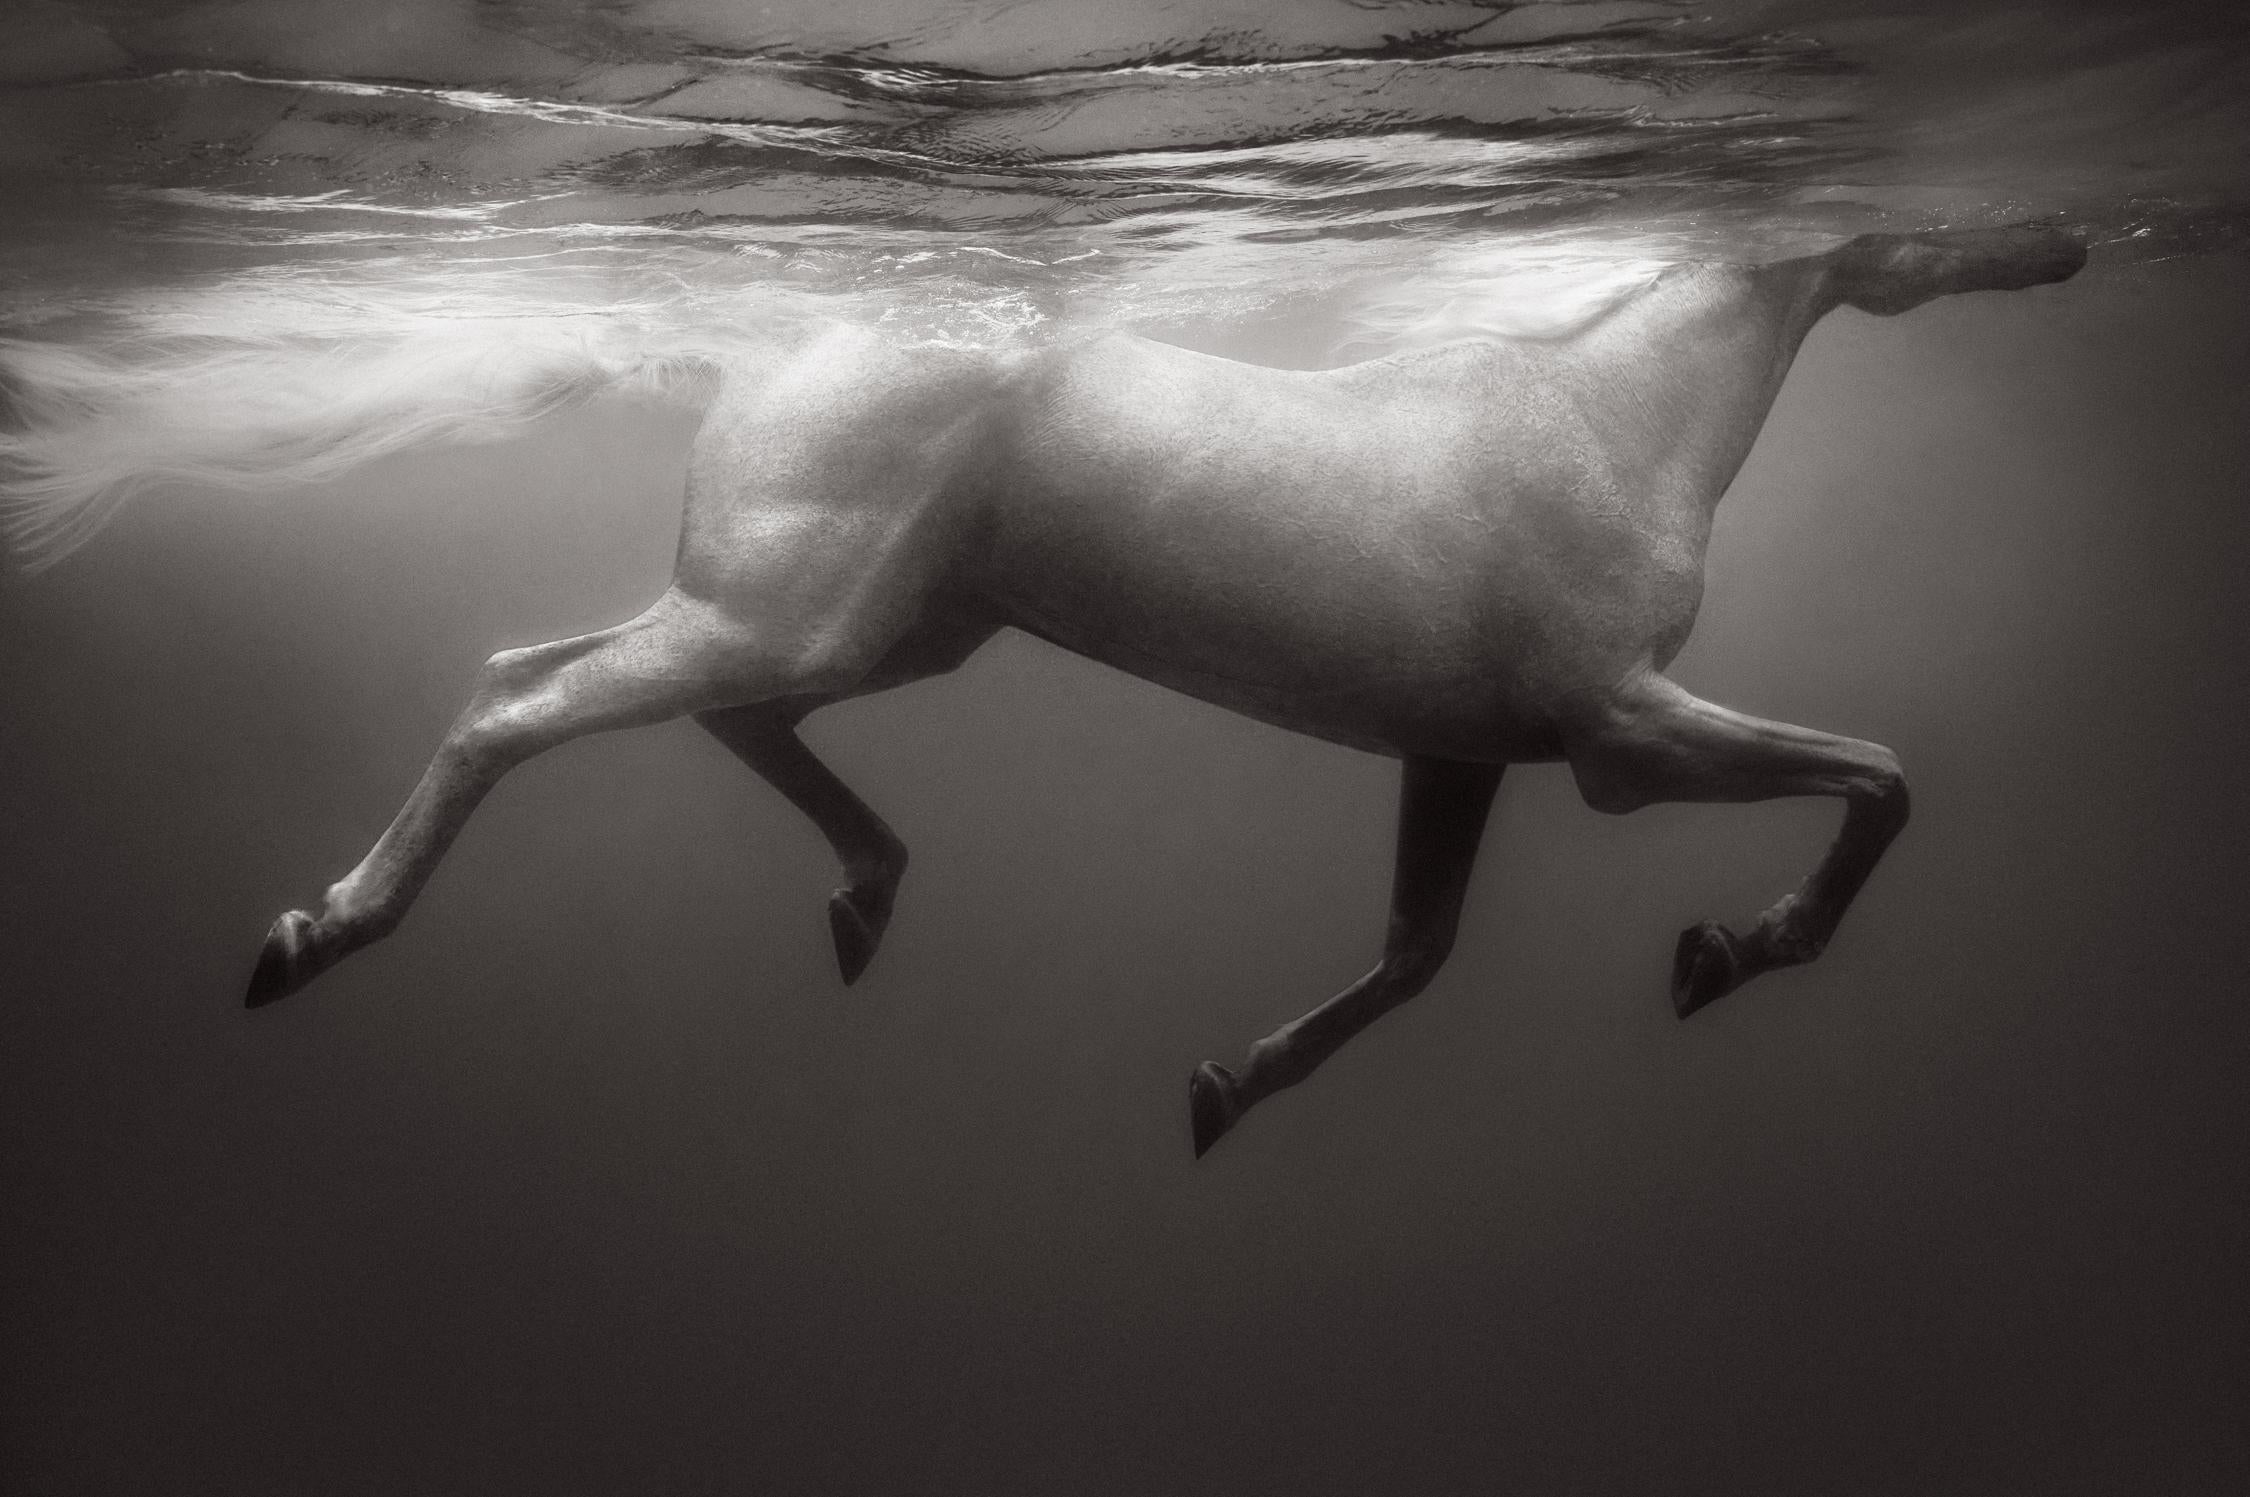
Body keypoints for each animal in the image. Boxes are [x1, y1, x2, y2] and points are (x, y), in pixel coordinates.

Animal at [219, 225, 2079, 1152]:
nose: (2058, 243)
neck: (1618, 413)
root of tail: (783, 336)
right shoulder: (1616, 736)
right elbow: (1883, 775)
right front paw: (1730, 949)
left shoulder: (1462, 751)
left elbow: (1413, 955)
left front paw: (1225, 1086)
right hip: (796, 613)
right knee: (517, 706)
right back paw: (313, 931)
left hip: (872, 625)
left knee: (626, 689)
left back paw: (867, 894)